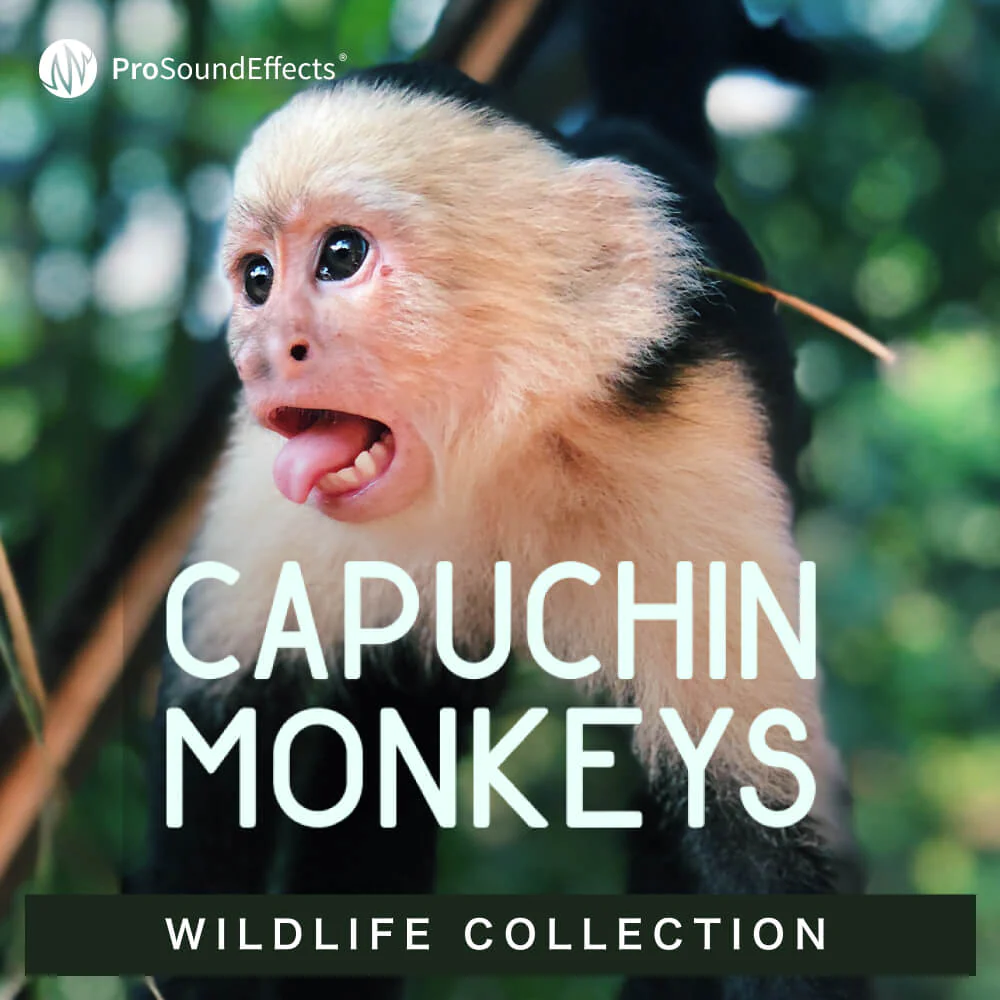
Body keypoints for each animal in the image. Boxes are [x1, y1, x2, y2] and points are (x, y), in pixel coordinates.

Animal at [138, 17, 868, 1000]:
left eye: (340, 257)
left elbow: (759, 819)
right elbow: (220, 736)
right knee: (389, 736)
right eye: (255, 278)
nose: (259, 354)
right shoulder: (269, 475)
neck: (492, 448)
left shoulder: (689, 442)